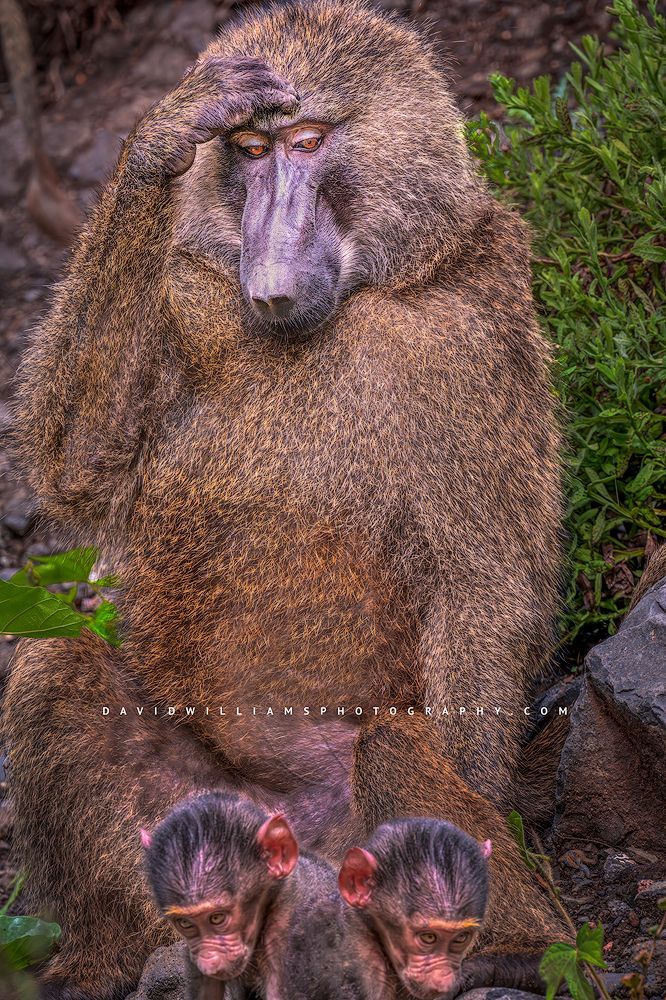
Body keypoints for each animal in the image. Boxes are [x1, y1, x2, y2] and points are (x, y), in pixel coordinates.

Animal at [3, 1, 566, 997]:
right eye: (250, 149)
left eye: (308, 142)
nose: (268, 276)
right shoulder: (184, 287)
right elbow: (79, 464)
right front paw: (163, 135)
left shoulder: (472, 329)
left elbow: (487, 587)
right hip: (217, 832)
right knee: (54, 662)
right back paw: (125, 959)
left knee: (393, 748)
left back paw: (502, 948)